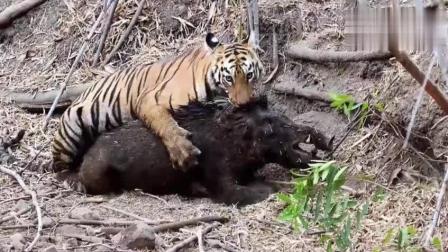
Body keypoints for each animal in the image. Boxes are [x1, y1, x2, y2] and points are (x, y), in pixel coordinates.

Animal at [50, 32, 264, 173]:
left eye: (249, 75)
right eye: (228, 78)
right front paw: (183, 153)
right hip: (71, 128)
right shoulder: (148, 99)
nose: (244, 103)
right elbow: (165, 124)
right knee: (58, 167)